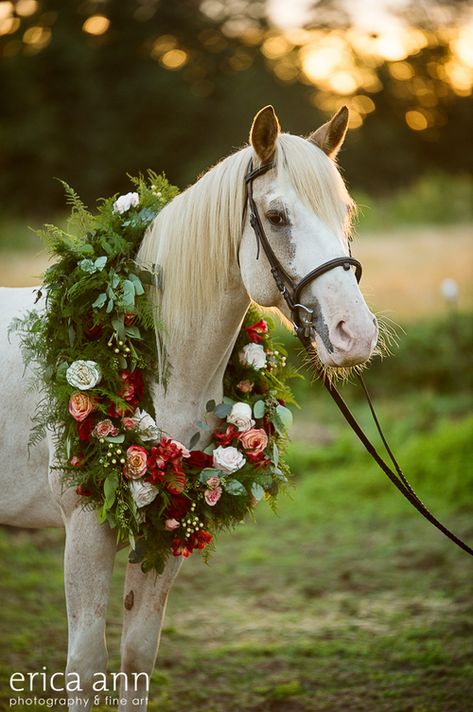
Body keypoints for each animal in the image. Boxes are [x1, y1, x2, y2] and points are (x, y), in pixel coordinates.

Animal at [0, 107, 376, 712]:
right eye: (276, 216)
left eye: (345, 213)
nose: (355, 335)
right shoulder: (86, 529)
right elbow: (85, 667)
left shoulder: (168, 520)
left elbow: (135, 658)